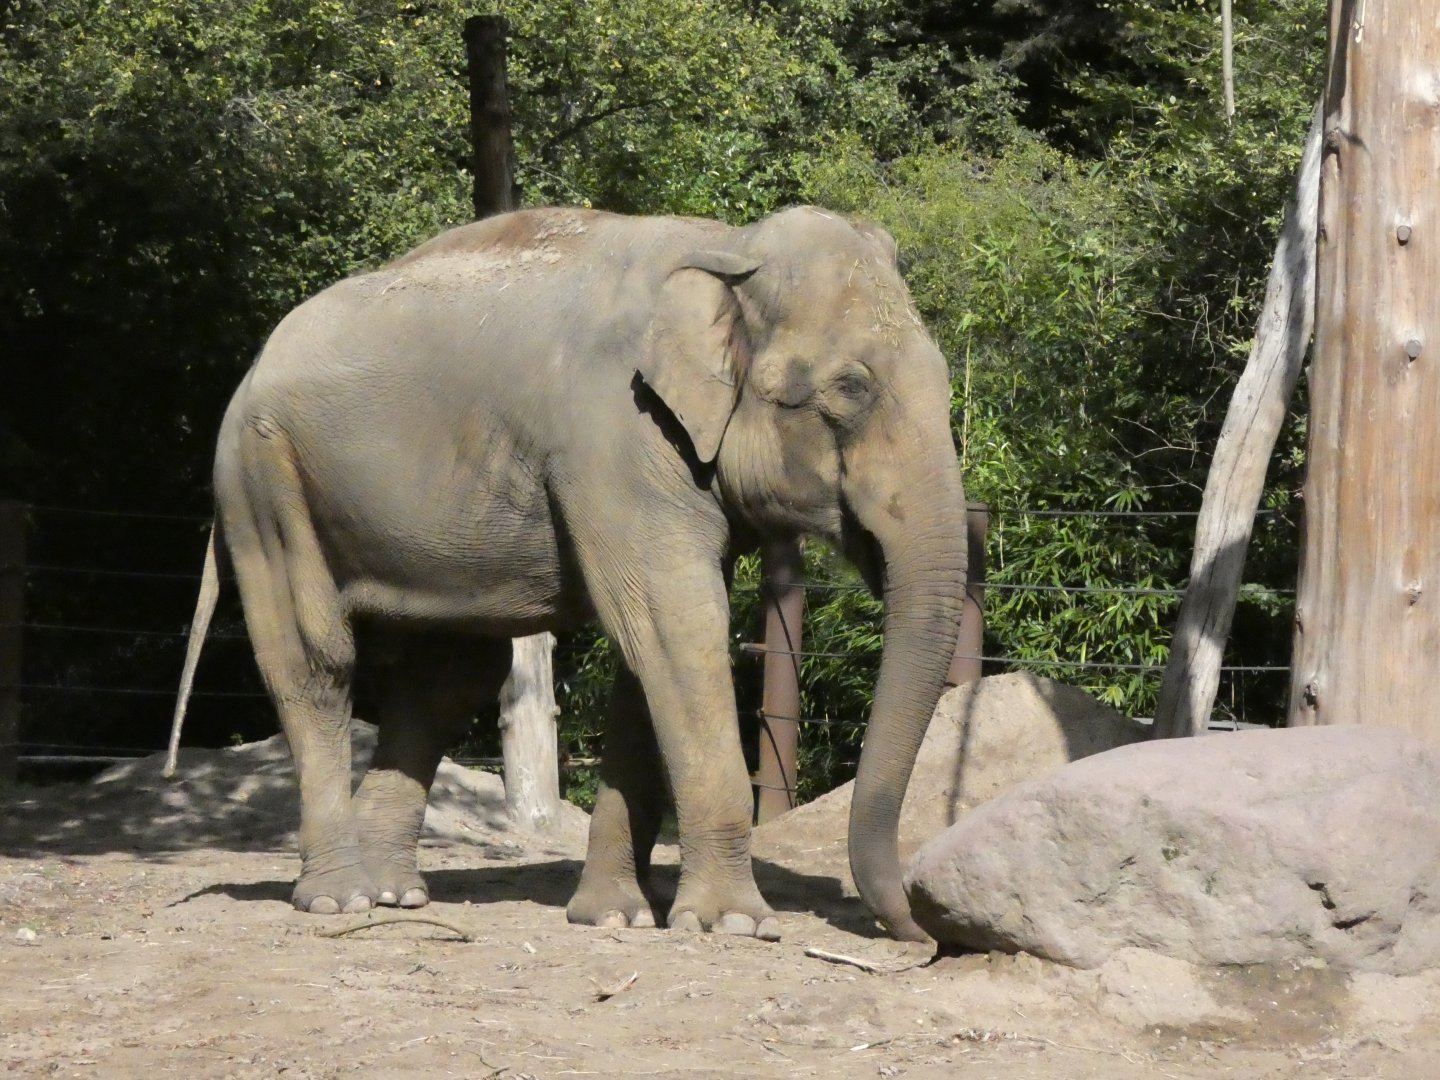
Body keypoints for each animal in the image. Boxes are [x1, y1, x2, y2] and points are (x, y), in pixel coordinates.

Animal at [169, 204, 968, 942]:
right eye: (851, 389)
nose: (922, 933)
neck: (725, 245)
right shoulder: (617, 436)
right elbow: (678, 629)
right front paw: (734, 925)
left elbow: (647, 657)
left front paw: (614, 917)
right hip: (263, 477)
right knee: (318, 660)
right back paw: (343, 898)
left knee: (448, 676)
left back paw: (396, 893)